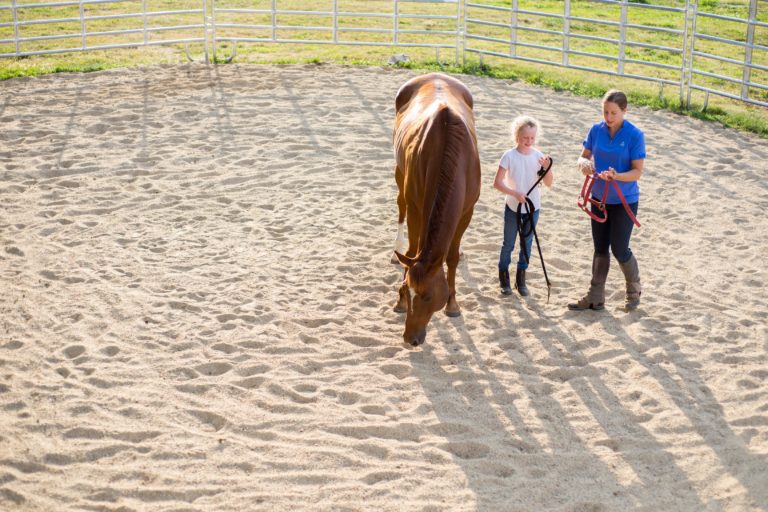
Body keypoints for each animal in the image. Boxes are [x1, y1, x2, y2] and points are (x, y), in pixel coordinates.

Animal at [390, 72, 480, 346]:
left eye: (428, 296)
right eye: (406, 290)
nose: (410, 338)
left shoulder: (466, 212)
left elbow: (451, 258)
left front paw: (453, 304)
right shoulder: (417, 207)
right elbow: (412, 249)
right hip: (400, 174)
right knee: (400, 205)